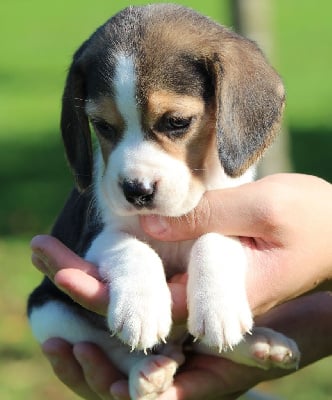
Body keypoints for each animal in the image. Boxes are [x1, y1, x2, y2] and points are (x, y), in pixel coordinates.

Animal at [27, 4, 300, 398]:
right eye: (102, 126)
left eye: (177, 122)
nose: (136, 190)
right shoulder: (92, 238)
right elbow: (132, 247)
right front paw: (141, 308)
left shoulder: (232, 216)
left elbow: (213, 239)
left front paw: (217, 306)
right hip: (48, 311)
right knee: (118, 350)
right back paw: (149, 371)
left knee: (196, 345)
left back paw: (262, 345)